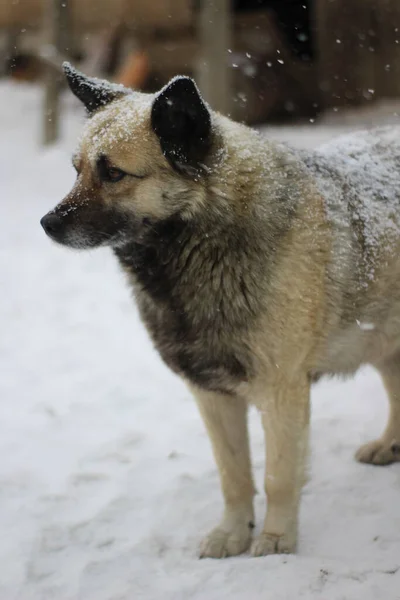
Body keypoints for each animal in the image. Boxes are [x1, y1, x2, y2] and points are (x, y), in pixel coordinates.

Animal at [41, 63, 400, 560]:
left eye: (113, 173)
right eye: (76, 171)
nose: (47, 224)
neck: (209, 243)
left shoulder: (281, 392)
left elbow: (277, 476)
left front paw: (276, 539)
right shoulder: (211, 394)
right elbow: (234, 475)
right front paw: (233, 533)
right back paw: (390, 445)